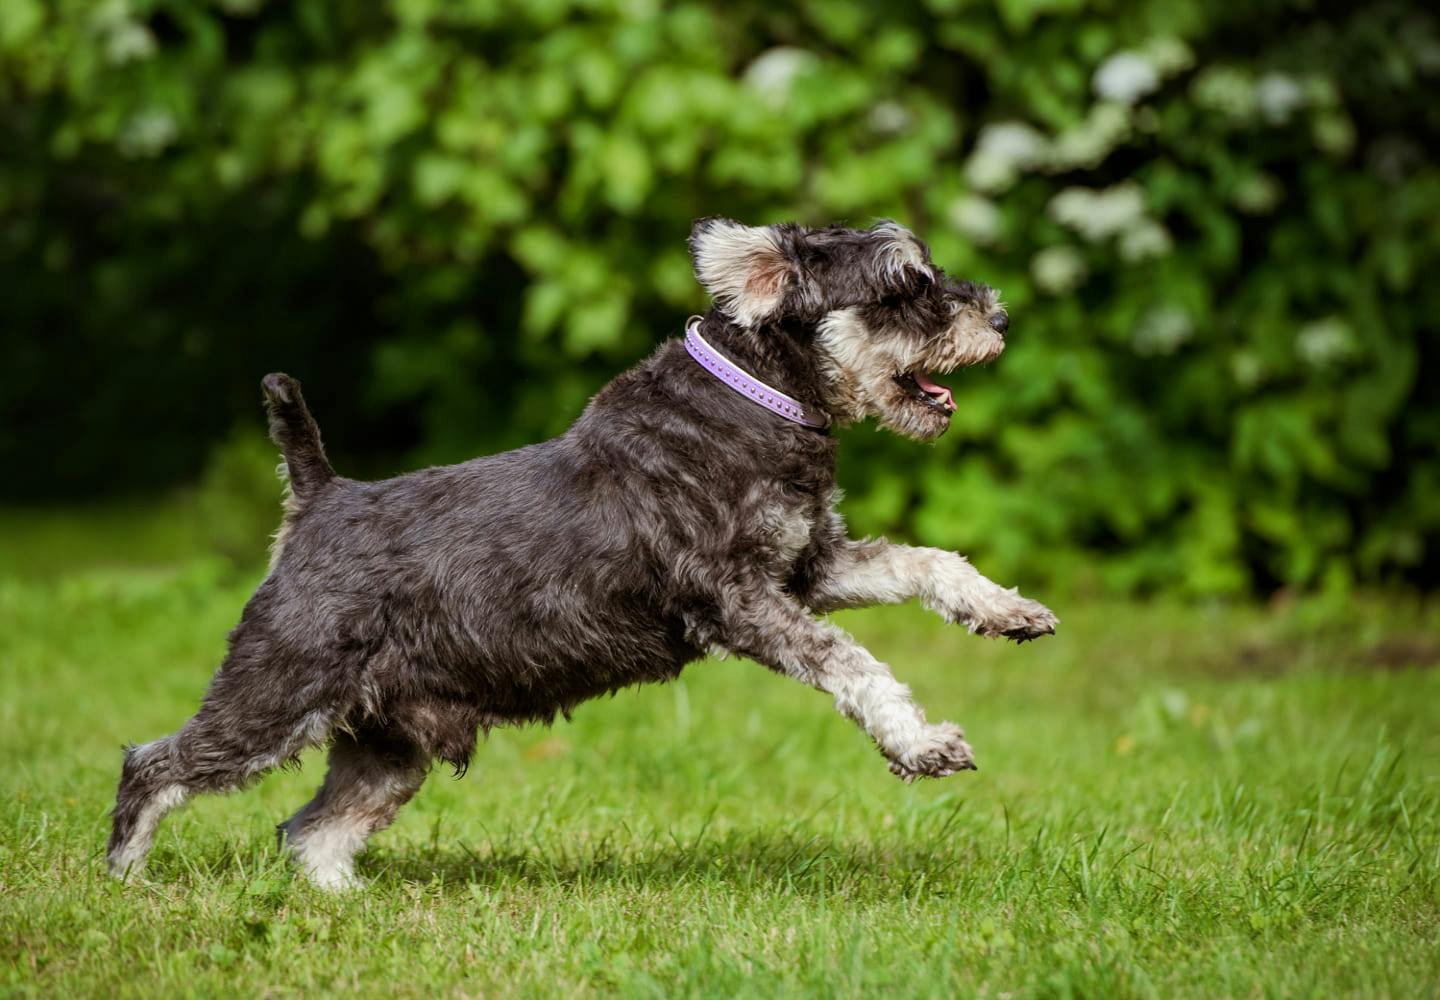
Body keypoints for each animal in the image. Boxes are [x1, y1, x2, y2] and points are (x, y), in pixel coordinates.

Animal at [106, 216, 1059, 887]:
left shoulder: (809, 566)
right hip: (272, 697)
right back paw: (125, 881)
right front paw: (922, 744)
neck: (755, 401)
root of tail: (319, 498)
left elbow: (927, 564)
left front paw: (1008, 610)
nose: (1002, 315)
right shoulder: (739, 600)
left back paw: (343, 902)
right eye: (905, 285)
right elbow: (853, 664)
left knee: (311, 829)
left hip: (388, 746)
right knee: (155, 766)